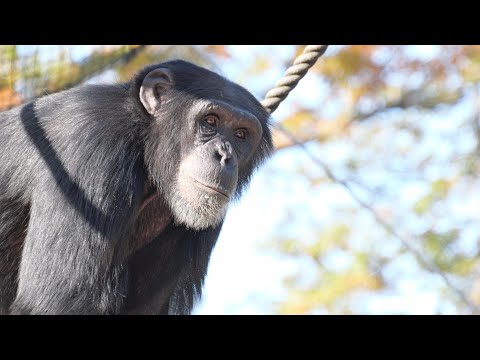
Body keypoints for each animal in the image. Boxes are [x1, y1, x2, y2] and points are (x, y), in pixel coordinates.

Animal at [0, 60, 274, 314]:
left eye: (241, 134)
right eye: (210, 120)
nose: (224, 155)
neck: (142, 140)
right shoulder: (91, 147)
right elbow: (56, 300)